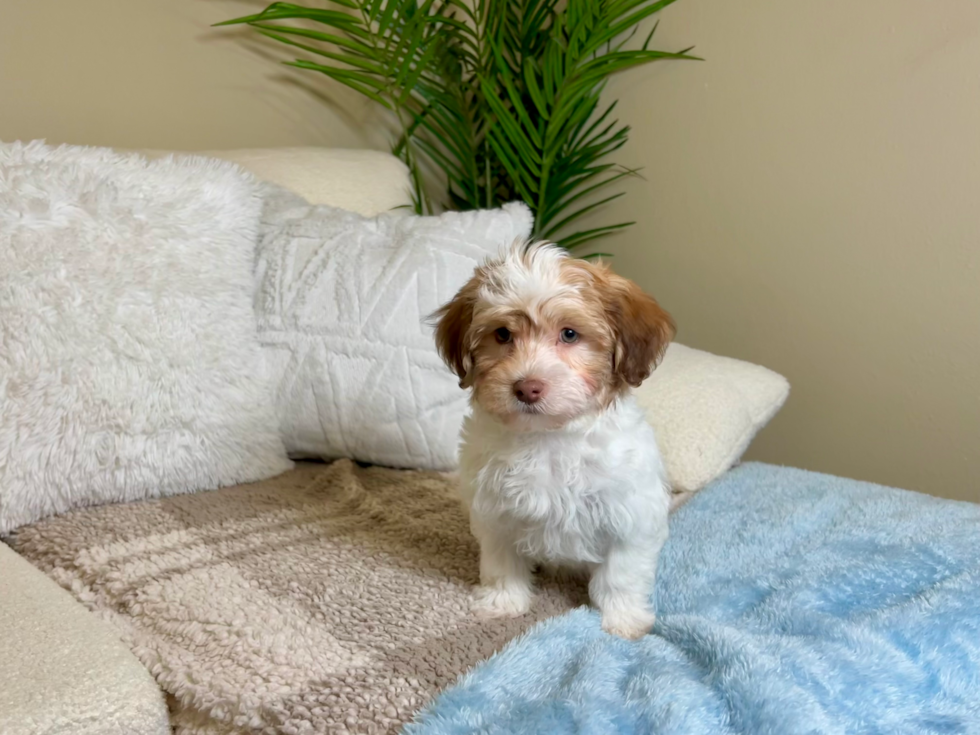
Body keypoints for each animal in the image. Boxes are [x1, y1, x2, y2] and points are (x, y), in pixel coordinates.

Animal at [432, 240, 676, 640]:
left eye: (570, 334)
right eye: (502, 334)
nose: (527, 387)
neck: (549, 437)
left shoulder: (630, 516)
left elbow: (621, 574)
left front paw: (623, 620)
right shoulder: (496, 512)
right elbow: (501, 563)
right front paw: (503, 603)